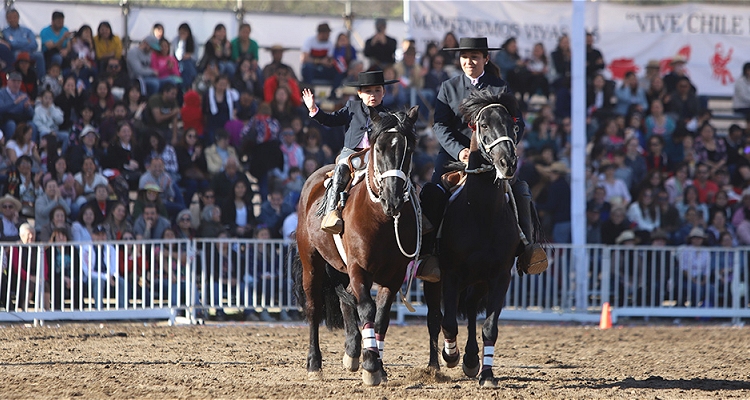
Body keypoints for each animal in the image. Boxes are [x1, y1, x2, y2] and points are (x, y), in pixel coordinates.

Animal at [296, 105, 424, 384]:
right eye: (379, 148)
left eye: (409, 149)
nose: (392, 199)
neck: (381, 220)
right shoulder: (359, 268)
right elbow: (366, 308)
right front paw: (371, 367)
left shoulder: (394, 275)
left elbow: (381, 317)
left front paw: (378, 365)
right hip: (311, 262)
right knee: (313, 308)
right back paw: (314, 364)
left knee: (345, 300)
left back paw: (352, 352)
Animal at [426, 90, 524, 388]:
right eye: (484, 125)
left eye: (512, 124)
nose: (507, 163)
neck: (481, 213)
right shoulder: (451, 274)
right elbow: (447, 322)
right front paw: (450, 355)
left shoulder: (499, 276)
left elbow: (489, 327)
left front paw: (487, 374)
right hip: (434, 281)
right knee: (434, 318)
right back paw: (435, 365)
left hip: (478, 282)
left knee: (469, 311)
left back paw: (471, 360)